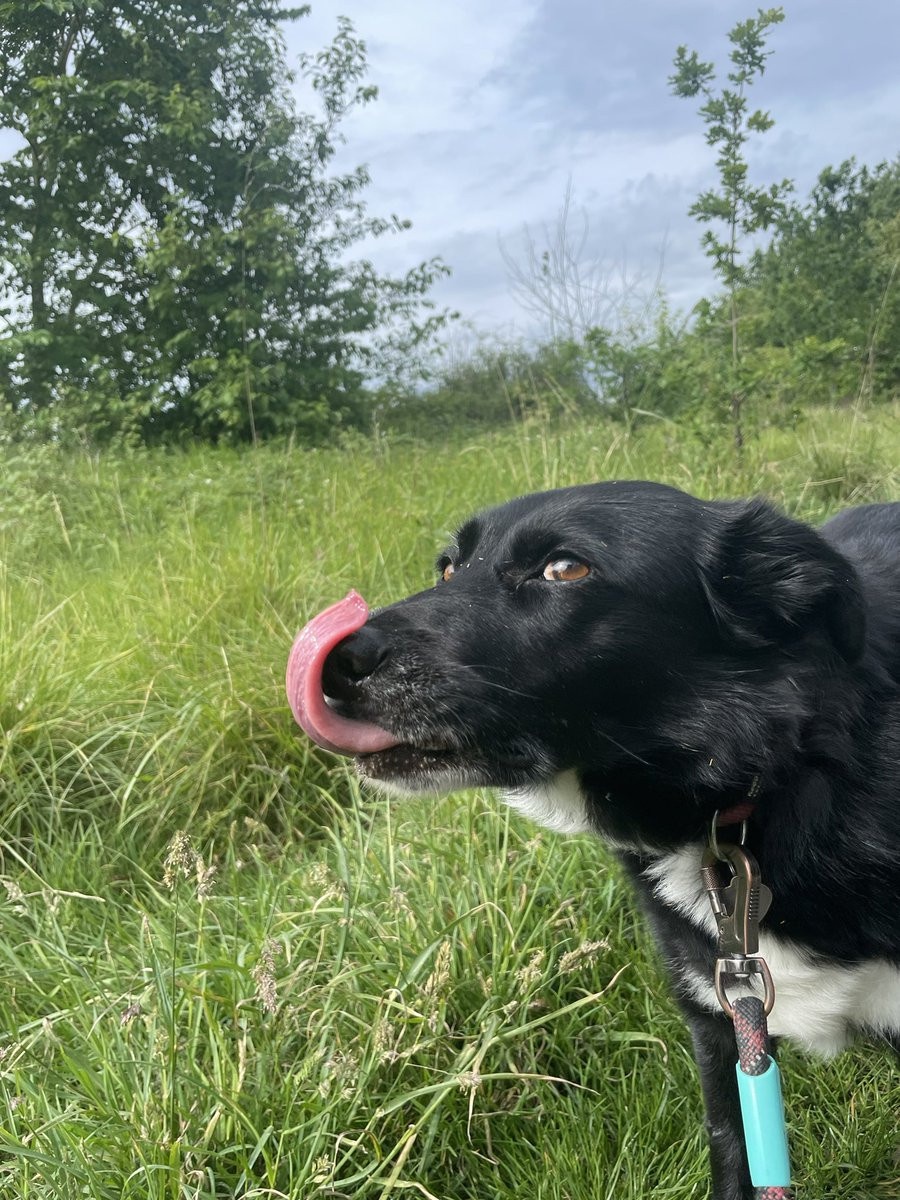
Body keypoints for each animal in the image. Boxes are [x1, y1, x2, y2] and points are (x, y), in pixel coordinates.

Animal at [288, 480, 900, 1200]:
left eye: (565, 569)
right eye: (447, 569)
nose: (334, 663)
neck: (769, 779)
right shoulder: (726, 1032)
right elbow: (733, 1157)